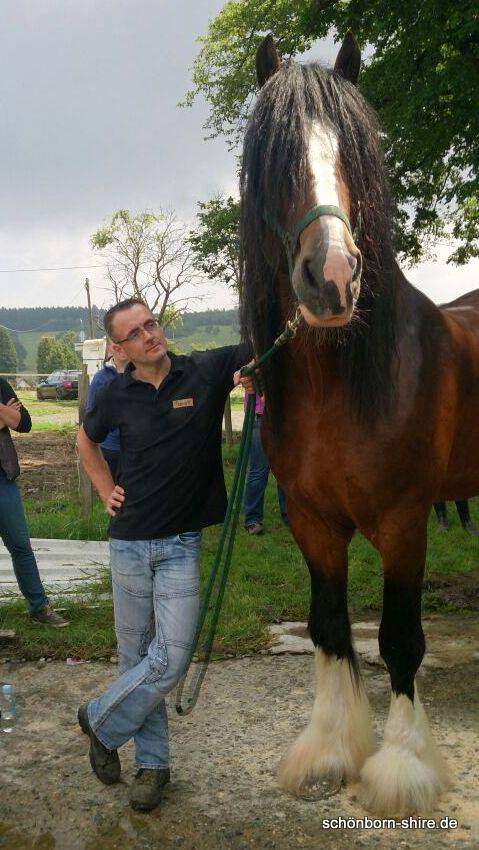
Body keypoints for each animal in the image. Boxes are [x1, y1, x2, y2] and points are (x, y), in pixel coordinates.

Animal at [242, 33, 479, 816]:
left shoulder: (405, 522)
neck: (338, 387)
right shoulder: (311, 522)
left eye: (352, 150)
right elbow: (329, 628)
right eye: (276, 156)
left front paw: (401, 766)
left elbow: (400, 639)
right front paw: (328, 751)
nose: (333, 277)